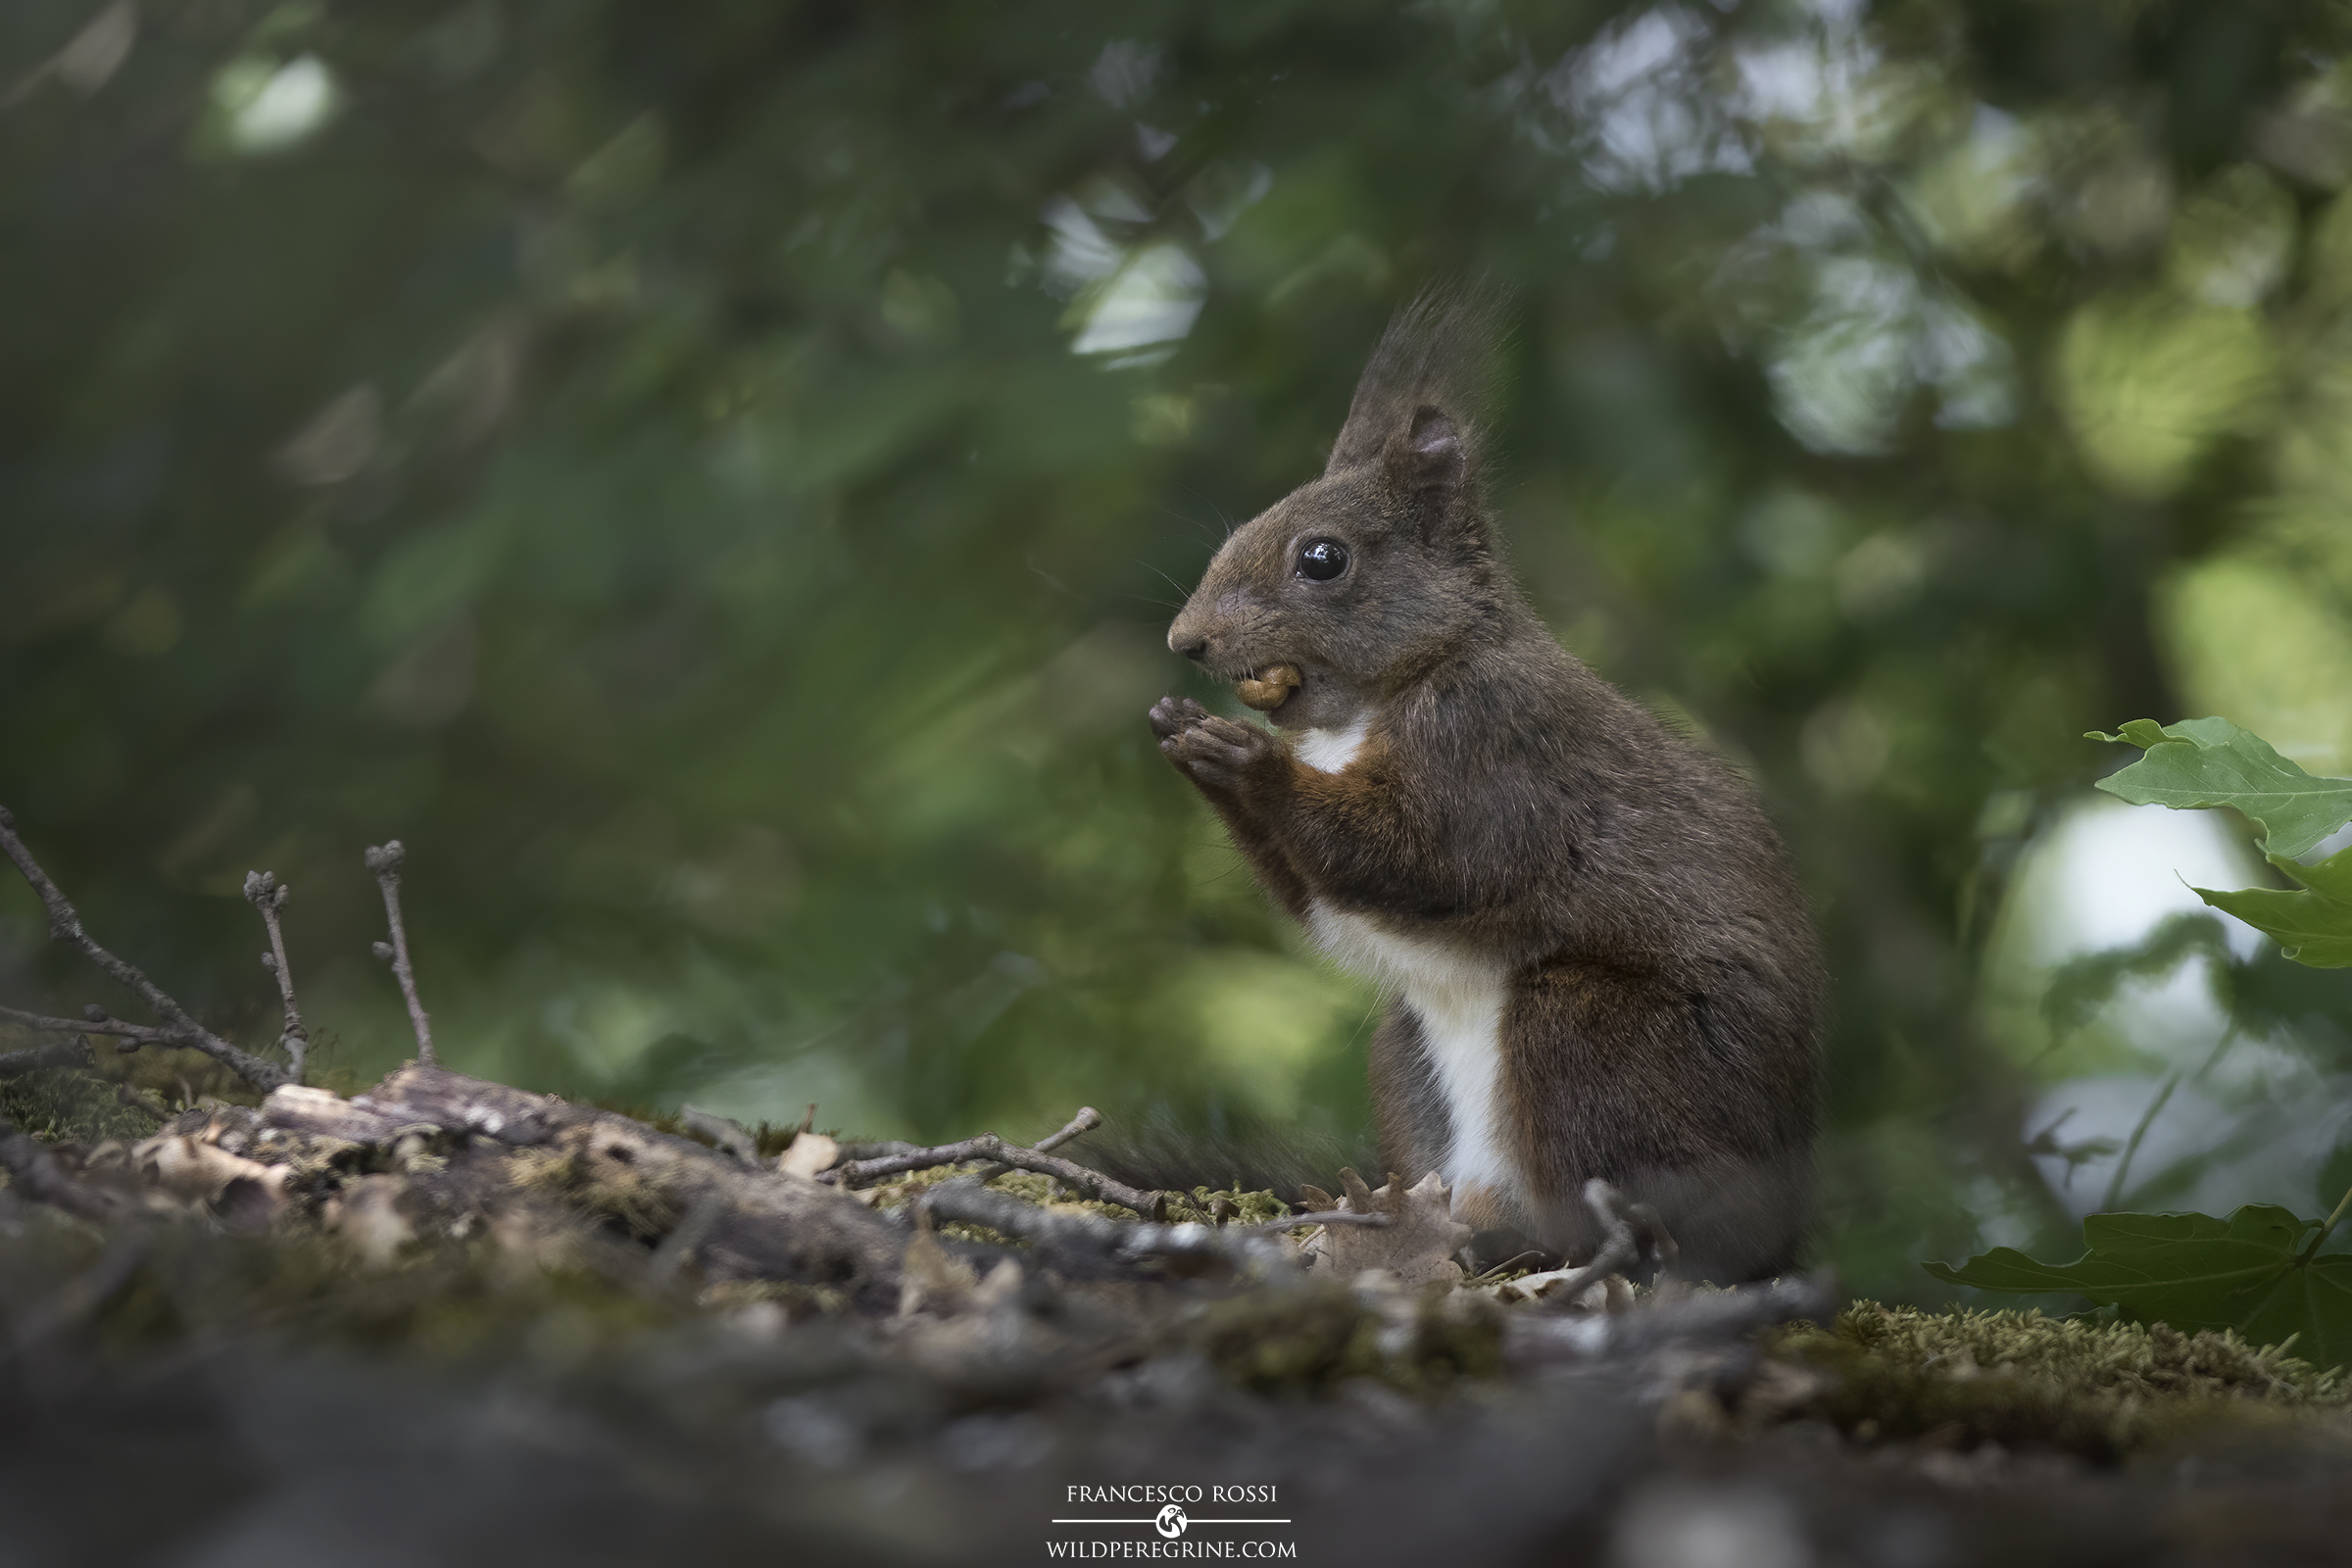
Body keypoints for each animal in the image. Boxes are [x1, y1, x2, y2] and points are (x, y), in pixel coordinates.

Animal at [1147, 292, 1823, 1282]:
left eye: (1322, 559)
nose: (1185, 642)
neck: (1376, 703)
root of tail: (1784, 1238)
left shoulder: (1495, 748)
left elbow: (1430, 858)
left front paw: (1249, 761)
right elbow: (1322, 898)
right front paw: (1184, 737)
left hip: (1596, 1039)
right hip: (1410, 1063)